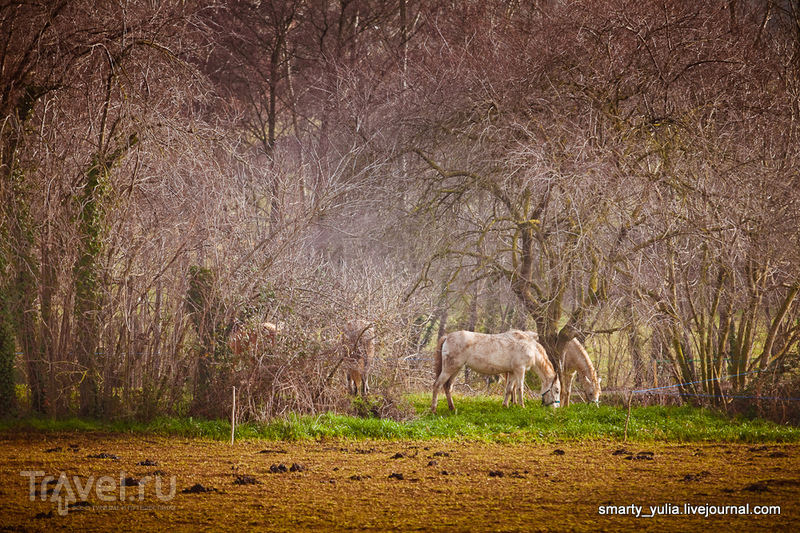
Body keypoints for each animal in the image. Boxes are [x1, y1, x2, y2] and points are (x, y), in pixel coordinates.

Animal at [432, 330, 564, 414]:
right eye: (557, 390)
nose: (556, 408)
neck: (529, 346)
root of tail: (447, 337)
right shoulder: (519, 370)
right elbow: (520, 389)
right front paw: (522, 406)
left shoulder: (512, 372)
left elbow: (509, 389)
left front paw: (505, 405)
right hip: (449, 368)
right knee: (437, 385)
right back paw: (433, 410)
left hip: (456, 369)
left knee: (448, 387)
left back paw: (452, 408)